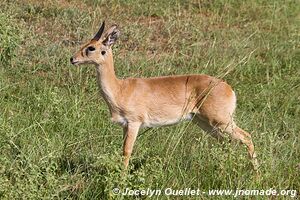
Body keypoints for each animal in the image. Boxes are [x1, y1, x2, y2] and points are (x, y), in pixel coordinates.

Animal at [69, 21, 258, 169]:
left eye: (91, 47)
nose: (72, 59)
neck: (120, 89)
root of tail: (229, 88)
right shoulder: (125, 125)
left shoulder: (134, 122)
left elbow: (127, 151)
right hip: (205, 123)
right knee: (227, 143)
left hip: (221, 121)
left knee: (247, 137)